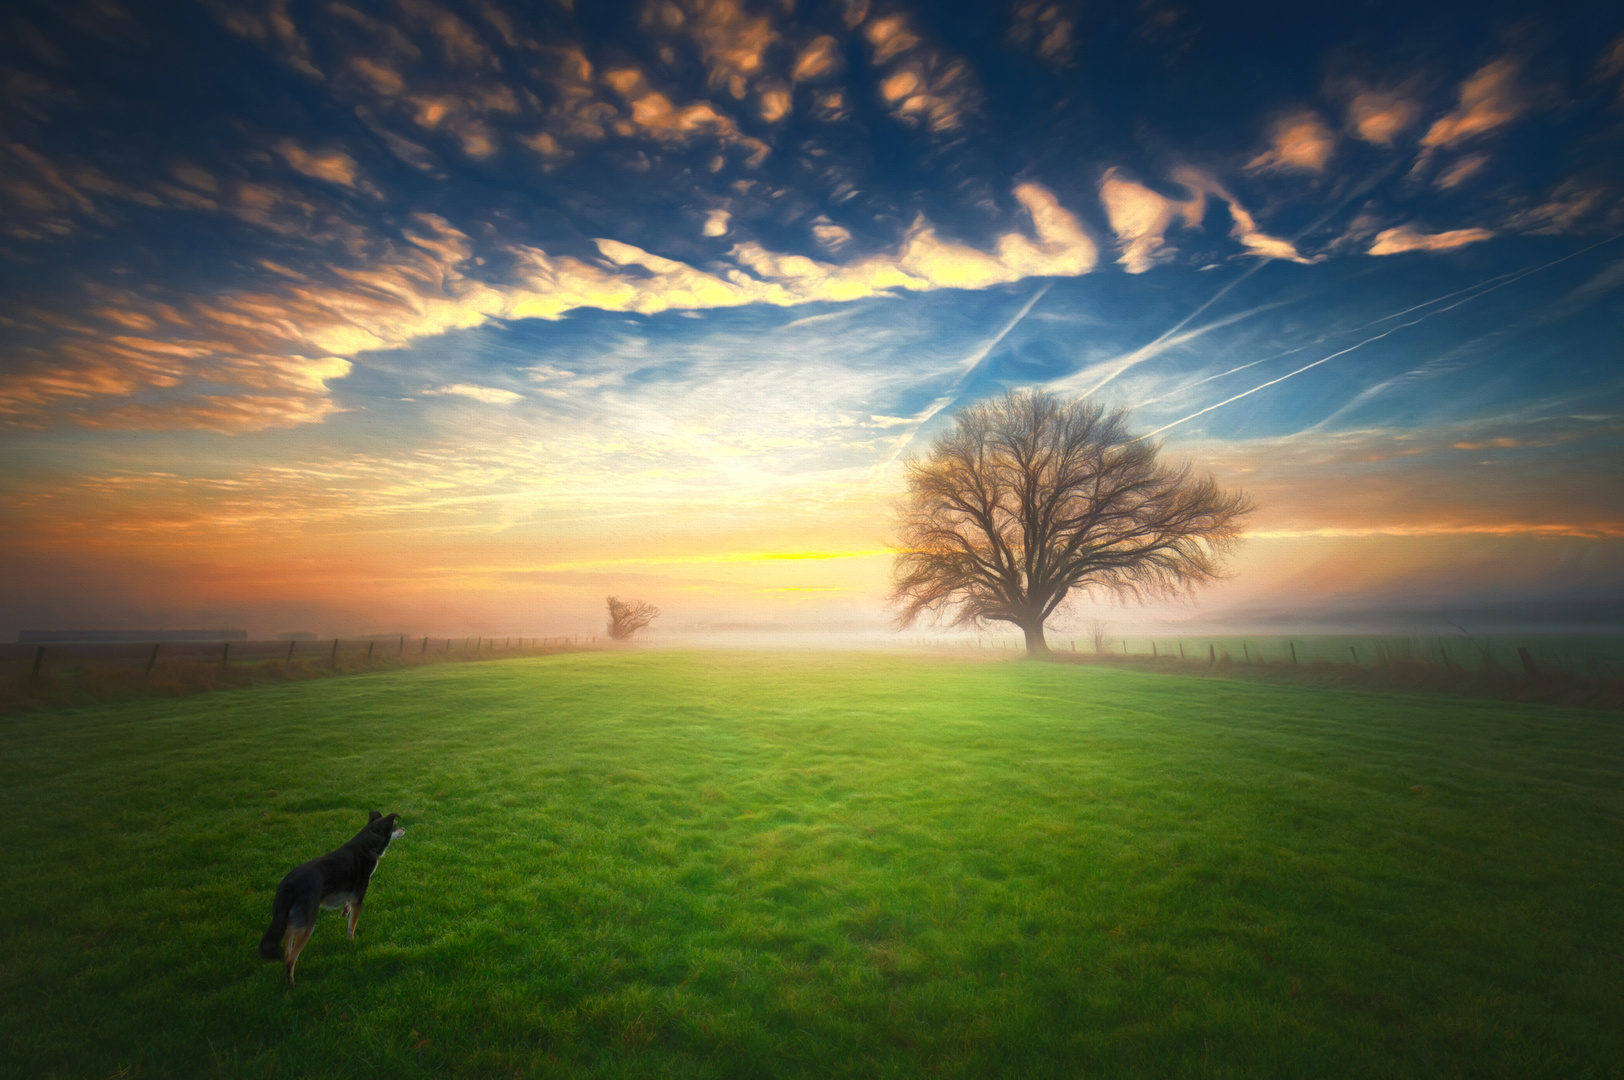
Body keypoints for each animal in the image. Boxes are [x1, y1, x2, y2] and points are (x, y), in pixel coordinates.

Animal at [256, 808, 406, 974]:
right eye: (395, 826)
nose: (404, 829)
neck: (367, 845)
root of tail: (286, 886)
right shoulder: (359, 897)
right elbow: (351, 926)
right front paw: (351, 942)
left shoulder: (351, 895)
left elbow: (348, 907)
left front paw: (345, 911)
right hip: (307, 923)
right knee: (291, 959)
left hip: (289, 920)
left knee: (287, 948)